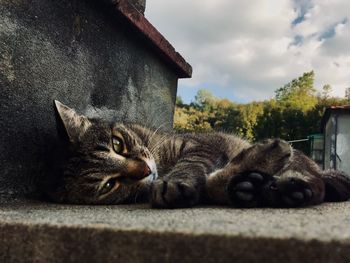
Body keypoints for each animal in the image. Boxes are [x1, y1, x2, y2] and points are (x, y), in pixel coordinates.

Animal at [42, 101, 350, 208]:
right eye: (109, 185)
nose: (146, 171)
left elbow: (192, 165)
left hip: (305, 165)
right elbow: (209, 183)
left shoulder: (201, 145)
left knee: (316, 182)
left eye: (118, 145)